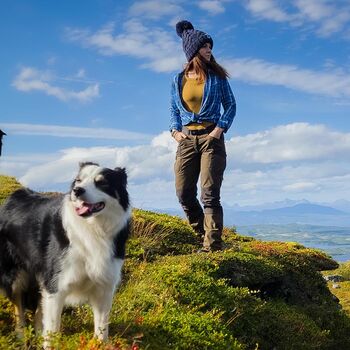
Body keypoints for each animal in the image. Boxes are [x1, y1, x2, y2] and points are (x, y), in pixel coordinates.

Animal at [0, 163, 131, 346]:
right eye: (78, 180)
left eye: (102, 182)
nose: (77, 191)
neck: (94, 229)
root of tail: (12, 197)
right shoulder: (57, 286)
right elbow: (53, 329)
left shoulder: (104, 286)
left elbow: (102, 328)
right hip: (15, 274)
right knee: (18, 305)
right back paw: (21, 336)